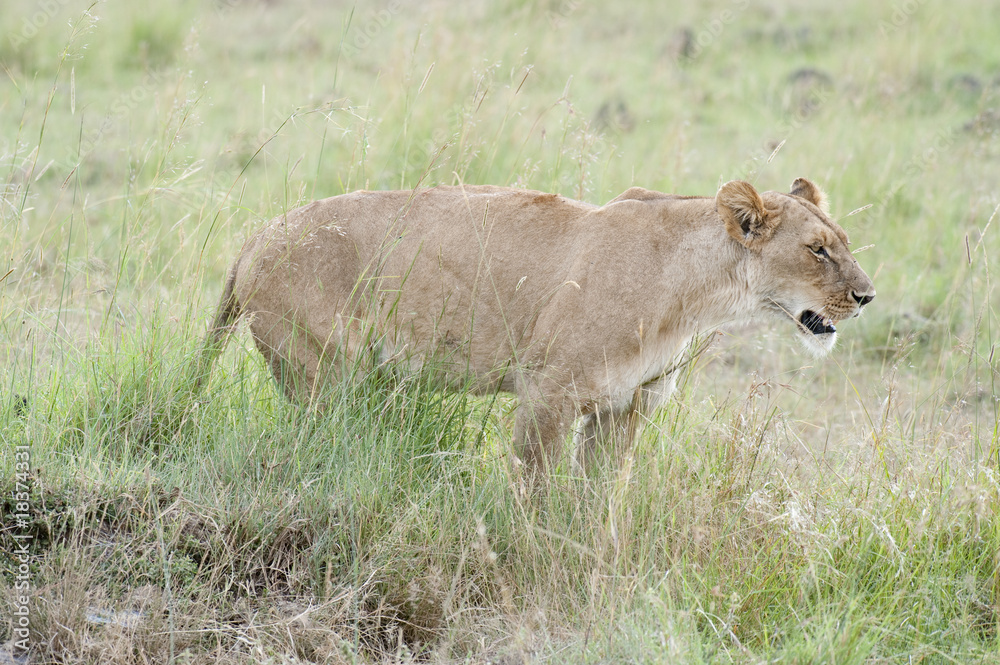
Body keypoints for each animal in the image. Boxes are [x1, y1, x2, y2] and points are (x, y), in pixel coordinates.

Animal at [194, 178, 874, 473]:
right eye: (817, 250)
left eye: (842, 242)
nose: (866, 297)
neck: (693, 296)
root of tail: (255, 236)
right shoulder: (548, 395)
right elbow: (537, 492)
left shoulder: (626, 410)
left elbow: (602, 501)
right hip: (325, 375)